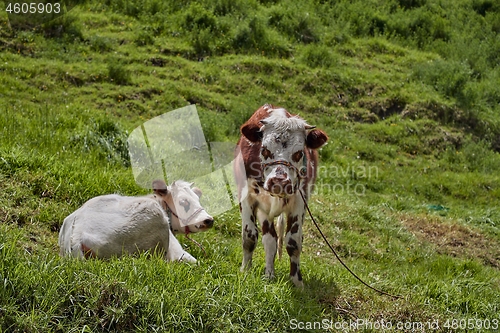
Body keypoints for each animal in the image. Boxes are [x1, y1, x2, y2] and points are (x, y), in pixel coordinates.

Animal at [234, 104, 328, 286]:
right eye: (264, 149)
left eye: (299, 152)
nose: (279, 181)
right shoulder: (247, 197)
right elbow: (250, 236)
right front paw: (245, 270)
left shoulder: (300, 201)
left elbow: (294, 242)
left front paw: (296, 281)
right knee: (269, 240)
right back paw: (269, 274)